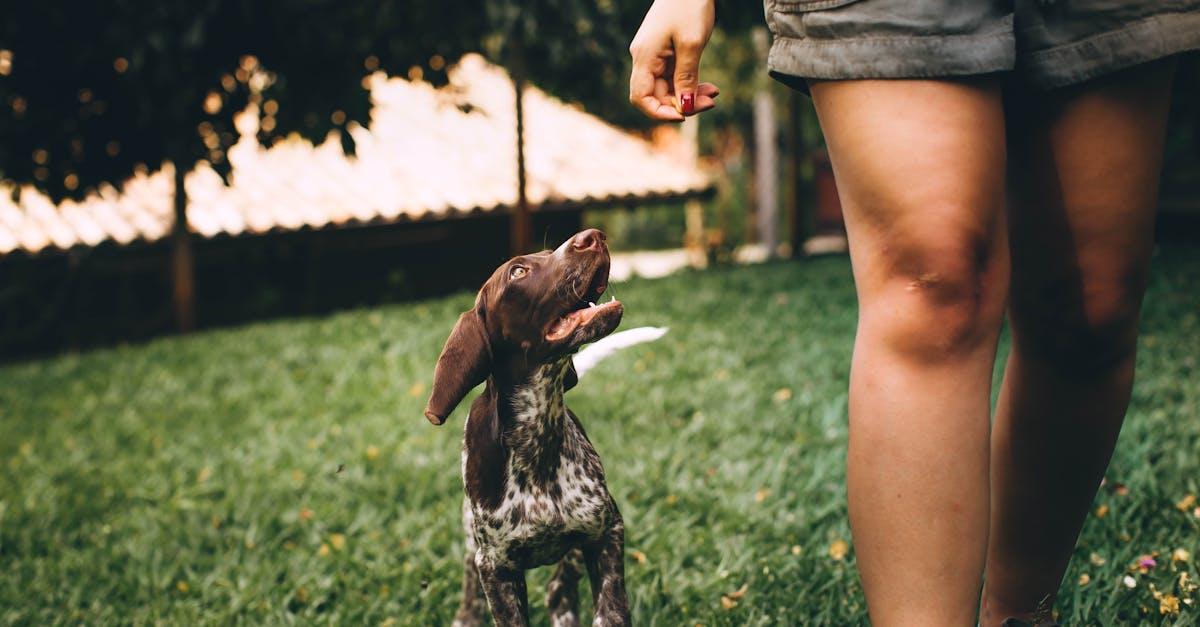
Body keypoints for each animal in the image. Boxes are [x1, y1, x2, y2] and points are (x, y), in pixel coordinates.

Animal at [429, 229, 633, 624]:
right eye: (518, 272)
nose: (593, 236)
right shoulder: (496, 567)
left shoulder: (605, 531)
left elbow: (611, 611)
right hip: (471, 537)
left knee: (558, 591)